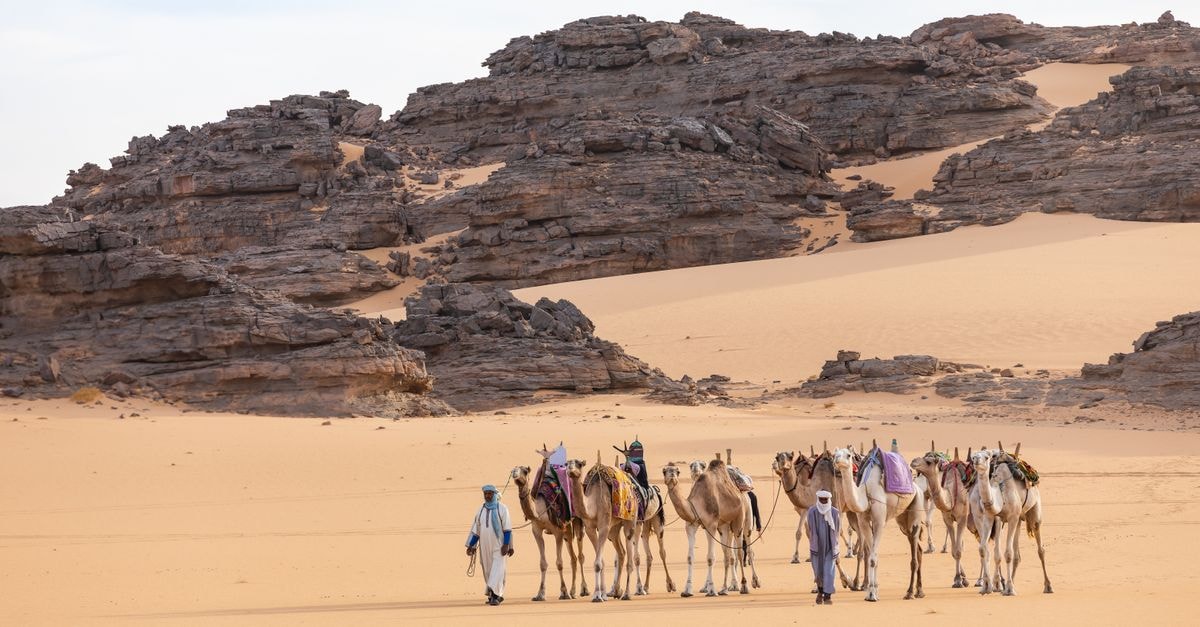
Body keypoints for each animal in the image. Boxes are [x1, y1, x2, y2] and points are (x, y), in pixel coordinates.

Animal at [510, 459, 587, 601]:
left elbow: (559, 563)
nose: (515, 475)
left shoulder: (557, 531)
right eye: (513, 470)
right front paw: (540, 594)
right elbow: (542, 564)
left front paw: (563, 592)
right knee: (573, 557)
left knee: (580, 555)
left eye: (525, 471)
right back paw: (573, 591)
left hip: (577, 521)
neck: (540, 512)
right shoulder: (536, 530)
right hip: (567, 529)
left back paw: (583, 590)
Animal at [565, 456, 641, 602]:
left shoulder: (603, 527)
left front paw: (597, 596)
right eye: (566, 464)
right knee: (621, 552)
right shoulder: (590, 528)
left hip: (630, 520)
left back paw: (626, 594)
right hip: (614, 528)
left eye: (579, 464)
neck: (593, 505)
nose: (570, 470)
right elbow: (600, 562)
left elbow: (598, 563)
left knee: (629, 555)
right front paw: (601, 594)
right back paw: (616, 591)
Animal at [832, 445, 926, 601]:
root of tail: (917, 487)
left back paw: (909, 592)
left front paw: (871, 594)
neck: (866, 493)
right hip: (902, 521)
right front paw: (872, 590)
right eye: (834, 454)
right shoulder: (863, 521)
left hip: (916, 506)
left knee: (914, 550)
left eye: (848, 455)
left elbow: (872, 558)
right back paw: (919, 591)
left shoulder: (879, 520)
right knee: (918, 548)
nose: (837, 460)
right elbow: (871, 554)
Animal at [911, 443, 972, 588]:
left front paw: (959, 580)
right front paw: (959, 578)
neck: (952, 494)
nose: (913, 461)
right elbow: (955, 551)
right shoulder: (948, 518)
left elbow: (958, 551)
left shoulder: (962, 518)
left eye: (928, 461)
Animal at [988, 443, 1053, 595]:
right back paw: (1011, 582)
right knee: (1017, 555)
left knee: (1041, 549)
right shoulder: (999, 519)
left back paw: (1048, 586)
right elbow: (997, 554)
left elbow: (1008, 553)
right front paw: (997, 585)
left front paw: (1009, 589)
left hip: (1034, 514)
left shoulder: (1012, 517)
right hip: (1019, 519)